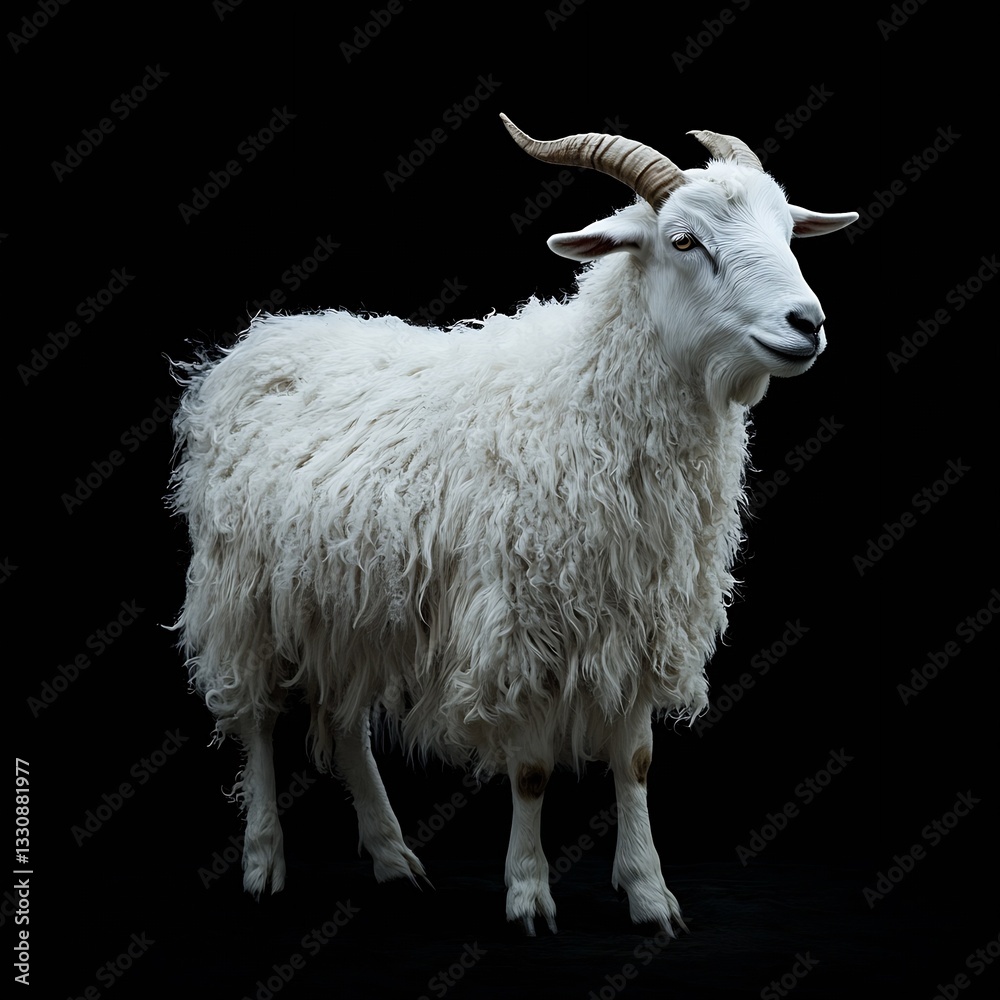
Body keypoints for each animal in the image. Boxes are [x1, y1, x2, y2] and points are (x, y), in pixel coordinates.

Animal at [169, 115, 857, 935]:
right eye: (685, 241)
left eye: (788, 230)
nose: (807, 324)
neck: (580, 393)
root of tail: (265, 337)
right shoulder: (520, 626)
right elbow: (529, 772)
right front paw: (528, 894)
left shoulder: (639, 617)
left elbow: (635, 765)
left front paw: (649, 894)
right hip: (242, 590)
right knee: (257, 722)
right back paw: (263, 860)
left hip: (352, 596)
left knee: (344, 724)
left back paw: (393, 857)